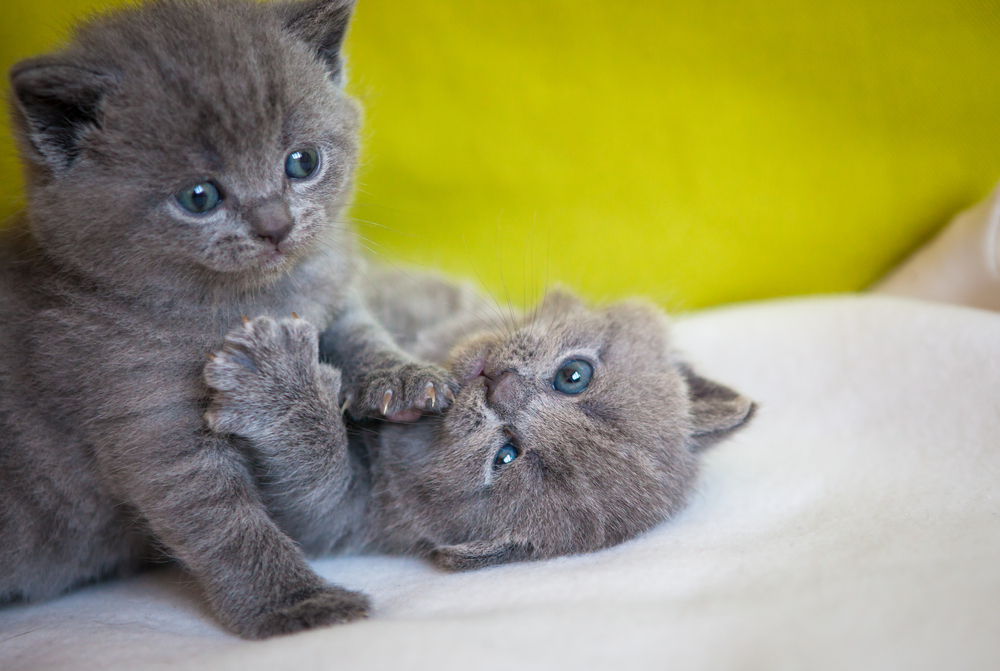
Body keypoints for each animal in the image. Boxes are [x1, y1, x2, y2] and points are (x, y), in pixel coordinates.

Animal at [0, 0, 454, 640]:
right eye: (199, 197)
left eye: (302, 162)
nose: (276, 224)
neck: (249, 295)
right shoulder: (145, 413)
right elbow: (227, 523)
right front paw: (295, 603)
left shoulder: (327, 291)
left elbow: (358, 331)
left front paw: (405, 380)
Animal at [203, 272, 752, 572]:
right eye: (575, 375)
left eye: (505, 455)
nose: (500, 387)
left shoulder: (341, 518)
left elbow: (310, 481)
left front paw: (275, 378)